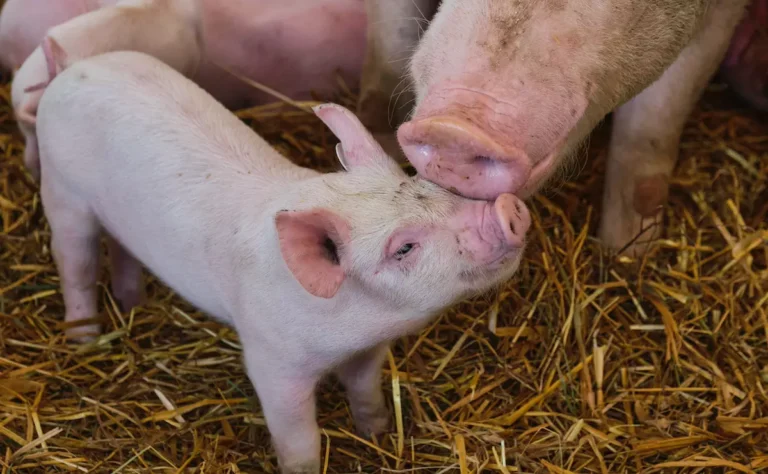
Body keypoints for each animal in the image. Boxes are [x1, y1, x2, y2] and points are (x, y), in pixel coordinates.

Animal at [35, 50, 530, 473]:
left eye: (425, 185)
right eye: (403, 248)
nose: (508, 210)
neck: (351, 327)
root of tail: (75, 67)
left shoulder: (369, 351)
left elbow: (366, 389)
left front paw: (378, 433)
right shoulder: (271, 360)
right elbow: (298, 436)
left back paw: (133, 303)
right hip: (62, 191)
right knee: (76, 265)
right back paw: (85, 339)